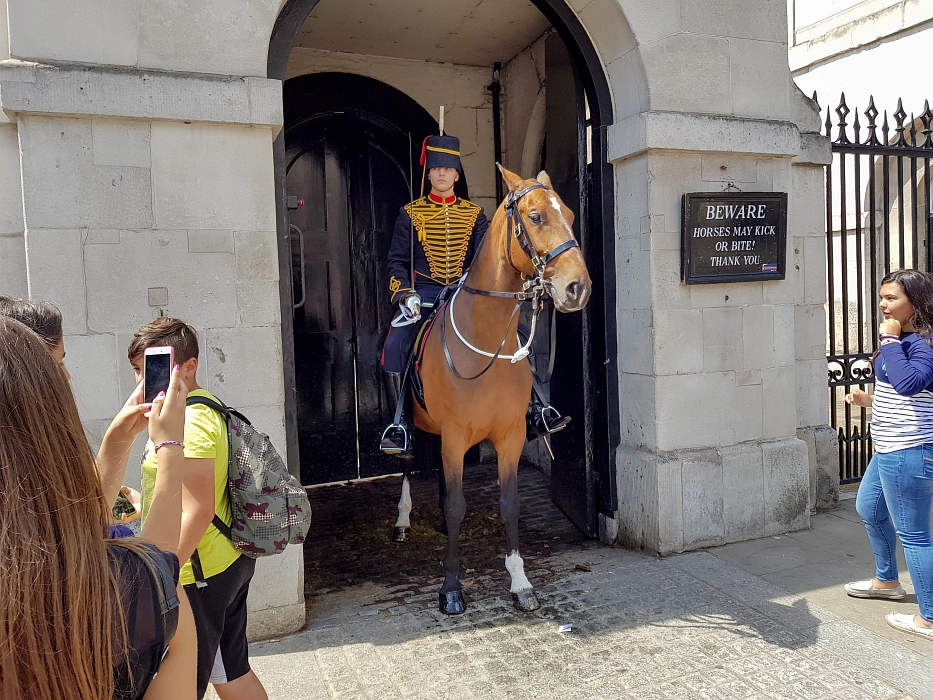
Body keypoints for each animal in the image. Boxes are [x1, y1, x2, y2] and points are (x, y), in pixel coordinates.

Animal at [390, 167, 592, 616]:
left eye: (570, 214)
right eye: (535, 217)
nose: (578, 288)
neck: (485, 334)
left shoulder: (510, 436)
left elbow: (508, 504)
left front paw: (520, 582)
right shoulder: (453, 435)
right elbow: (456, 506)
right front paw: (451, 589)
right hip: (415, 425)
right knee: (408, 463)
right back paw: (403, 520)